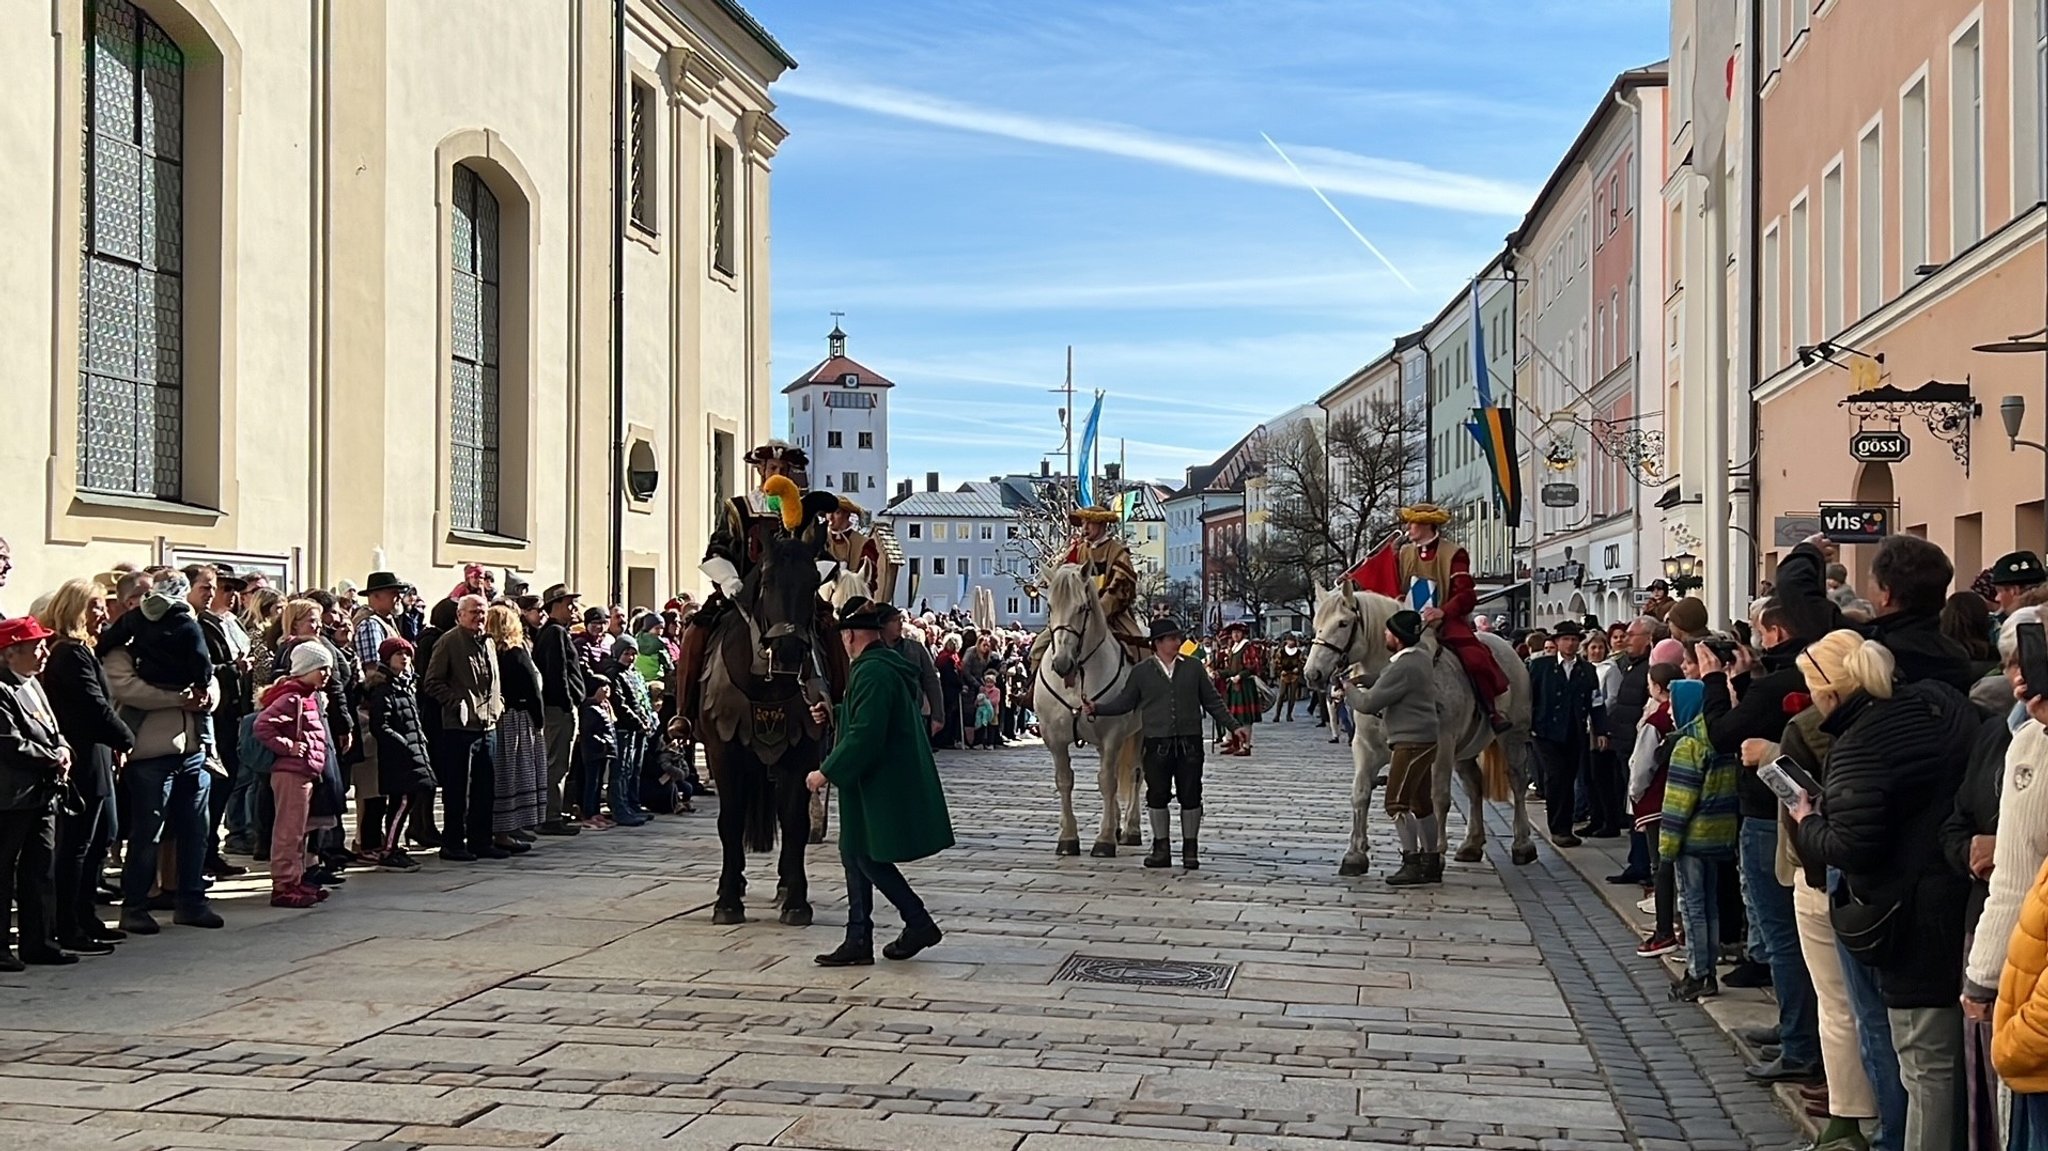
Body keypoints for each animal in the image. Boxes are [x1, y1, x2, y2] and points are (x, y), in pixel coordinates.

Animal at [696, 532, 839, 921]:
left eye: (813, 584)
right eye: (768, 582)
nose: (788, 652)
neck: (765, 681)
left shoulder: (802, 753)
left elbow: (794, 821)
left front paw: (796, 901)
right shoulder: (723, 752)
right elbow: (730, 820)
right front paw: (727, 901)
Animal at [1032, 565, 1146, 851]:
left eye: (1082, 608)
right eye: (1049, 606)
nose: (1062, 663)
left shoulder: (1112, 735)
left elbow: (1107, 781)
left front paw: (1104, 840)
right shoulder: (1054, 738)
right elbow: (1064, 780)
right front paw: (1068, 837)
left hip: (1139, 732)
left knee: (1134, 774)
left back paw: (1130, 828)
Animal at [1302, 581, 1531, 868]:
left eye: (1343, 623)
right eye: (1316, 623)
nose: (1312, 674)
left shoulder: (1441, 747)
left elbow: (1438, 796)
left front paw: (1437, 851)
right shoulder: (1367, 748)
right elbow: (1361, 791)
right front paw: (1355, 853)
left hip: (1513, 736)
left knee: (1517, 780)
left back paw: (1522, 844)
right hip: (1464, 750)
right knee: (1474, 785)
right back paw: (1471, 844)